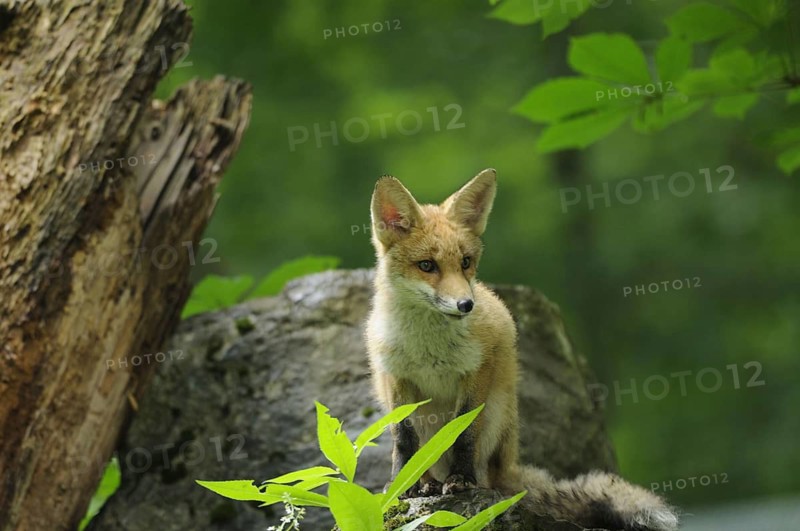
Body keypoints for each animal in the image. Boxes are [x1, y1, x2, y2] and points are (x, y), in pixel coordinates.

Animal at [365, 168, 679, 530]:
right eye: (427, 265)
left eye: (466, 262)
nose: (466, 305)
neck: (428, 348)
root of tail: (509, 468)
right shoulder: (395, 375)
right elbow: (404, 438)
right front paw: (405, 485)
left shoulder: (478, 369)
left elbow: (464, 433)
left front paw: (461, 479)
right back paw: (426, 483)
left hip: (499, 410)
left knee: (487, 473)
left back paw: (468, 481)